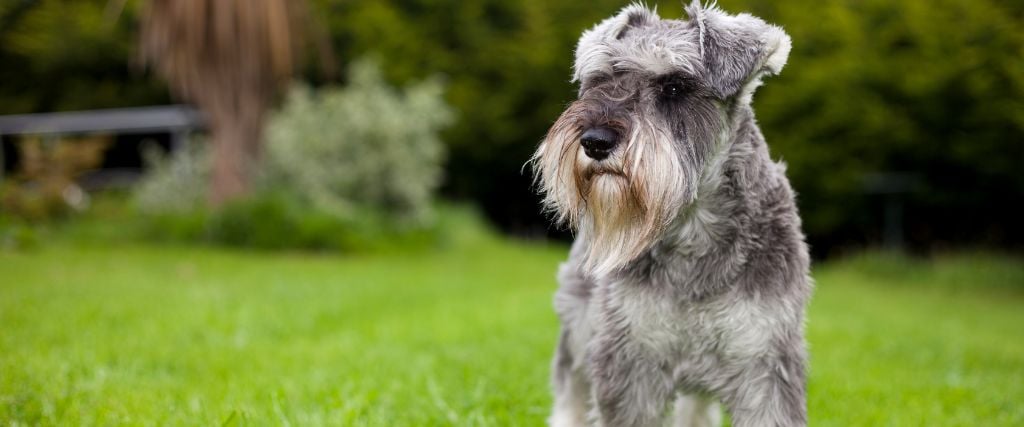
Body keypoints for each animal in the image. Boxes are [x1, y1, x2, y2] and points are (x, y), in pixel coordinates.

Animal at [532, 1, 811, 423]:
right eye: (600, 79)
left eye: (675, 87)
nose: (595, 141)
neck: (692, 231)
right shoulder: (629, 359)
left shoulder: (766, 362)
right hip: (579, 328)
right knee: (571, 396)